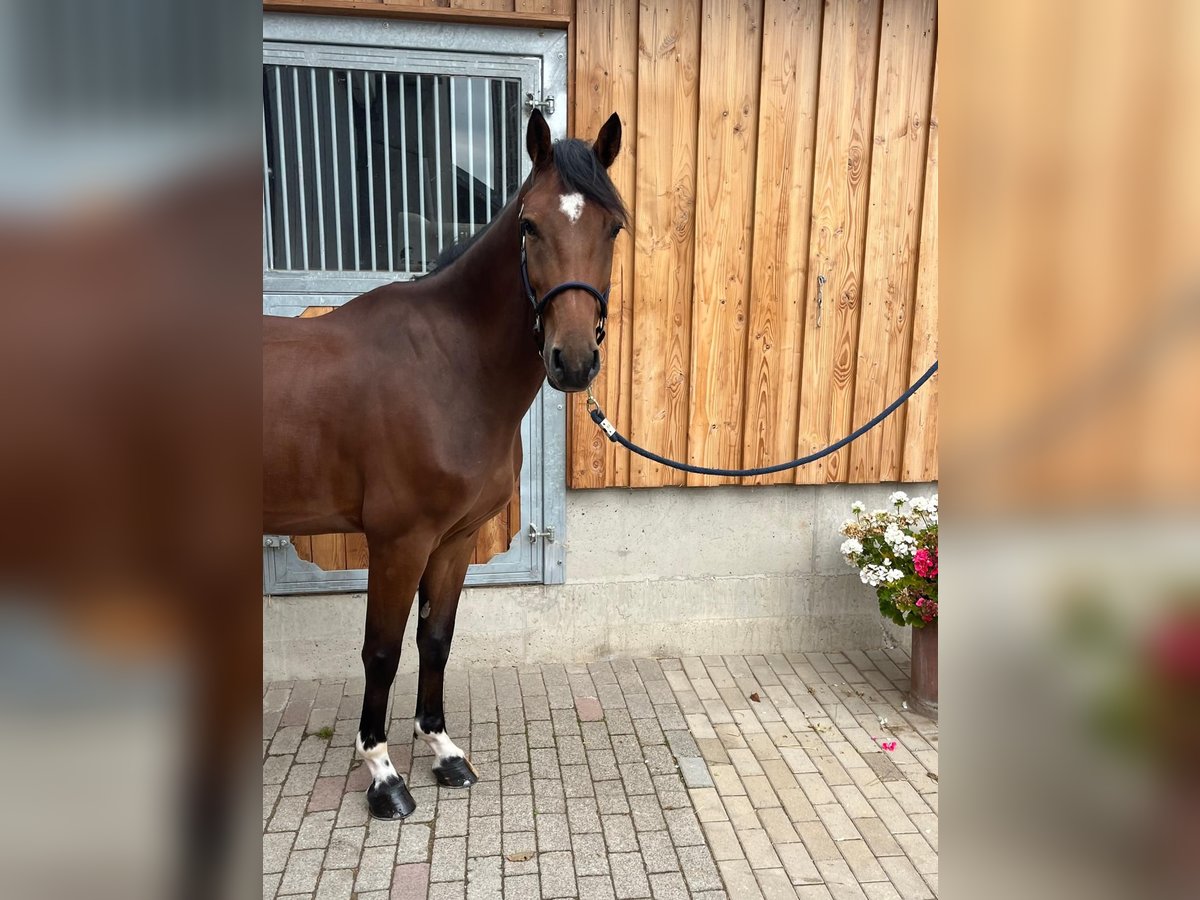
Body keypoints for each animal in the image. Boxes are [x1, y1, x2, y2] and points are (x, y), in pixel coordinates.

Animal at [259, 109, 624, 820]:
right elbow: (382, 651)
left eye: (613, 227)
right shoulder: (398, 541)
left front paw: (443, 752)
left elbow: (436, 639)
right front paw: (382, 776)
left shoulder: (453, 541)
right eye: (529, 225)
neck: (448, 366)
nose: (572, 361)